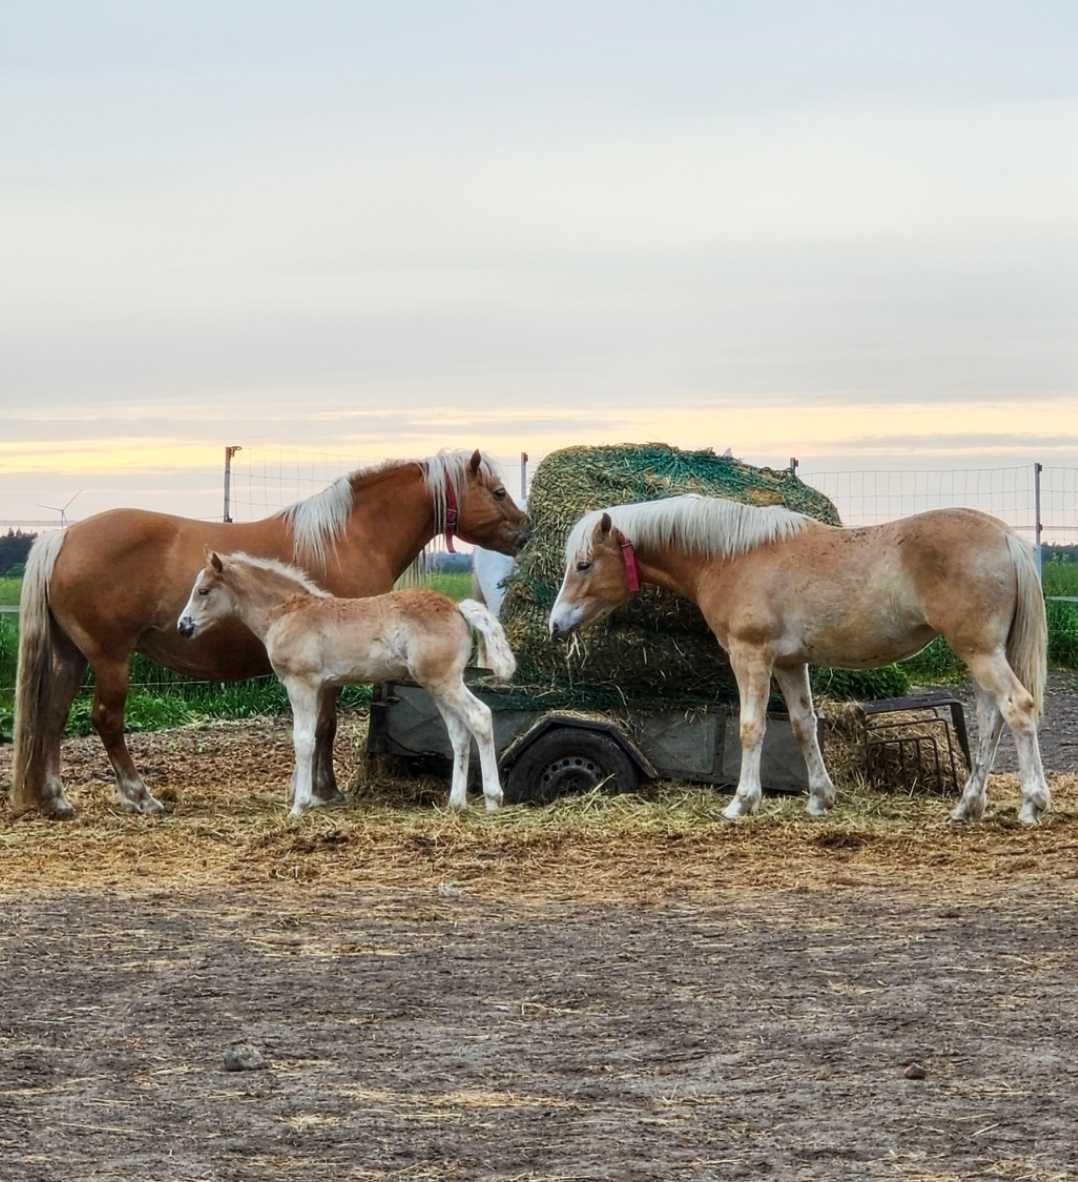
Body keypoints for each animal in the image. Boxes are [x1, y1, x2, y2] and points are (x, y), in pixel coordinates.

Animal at [178, 550, 515, 813]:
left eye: (204, 591)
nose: (183, 627)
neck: (286, 614)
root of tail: (457, 608)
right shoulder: (318, 687)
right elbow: (314, 735)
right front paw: (306, 797)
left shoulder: (300, 683)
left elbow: (302, 739)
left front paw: (299, 806)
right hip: (436, 684)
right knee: (458, 732)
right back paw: (455, 802)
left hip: (444, 680)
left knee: (479, 716)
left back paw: (492, 798)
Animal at [550, 494, 1049, 827]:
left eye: (584, 564)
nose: (556, 624)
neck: (732, 557)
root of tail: (1006, 537)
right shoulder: (790, 664)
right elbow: (803, 726)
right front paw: (819, 799)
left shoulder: (751, 655)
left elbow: (751, 728)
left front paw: (741, 803)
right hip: (981, 654)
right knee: (991, 722)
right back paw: (967, 806)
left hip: (980, 652)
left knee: (1018, 709)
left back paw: (1031, 804)